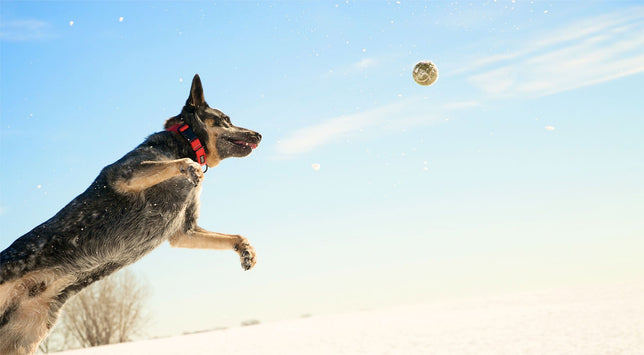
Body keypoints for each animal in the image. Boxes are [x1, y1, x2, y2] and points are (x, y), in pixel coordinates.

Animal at [0, 73, 262, 354]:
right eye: (226, 119)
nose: (259, 134)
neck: (186, 142)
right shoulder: (126, 174)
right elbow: (178, 163)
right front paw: (190, 167)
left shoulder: (185, 231)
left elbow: (235, 236)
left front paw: (247, 252)